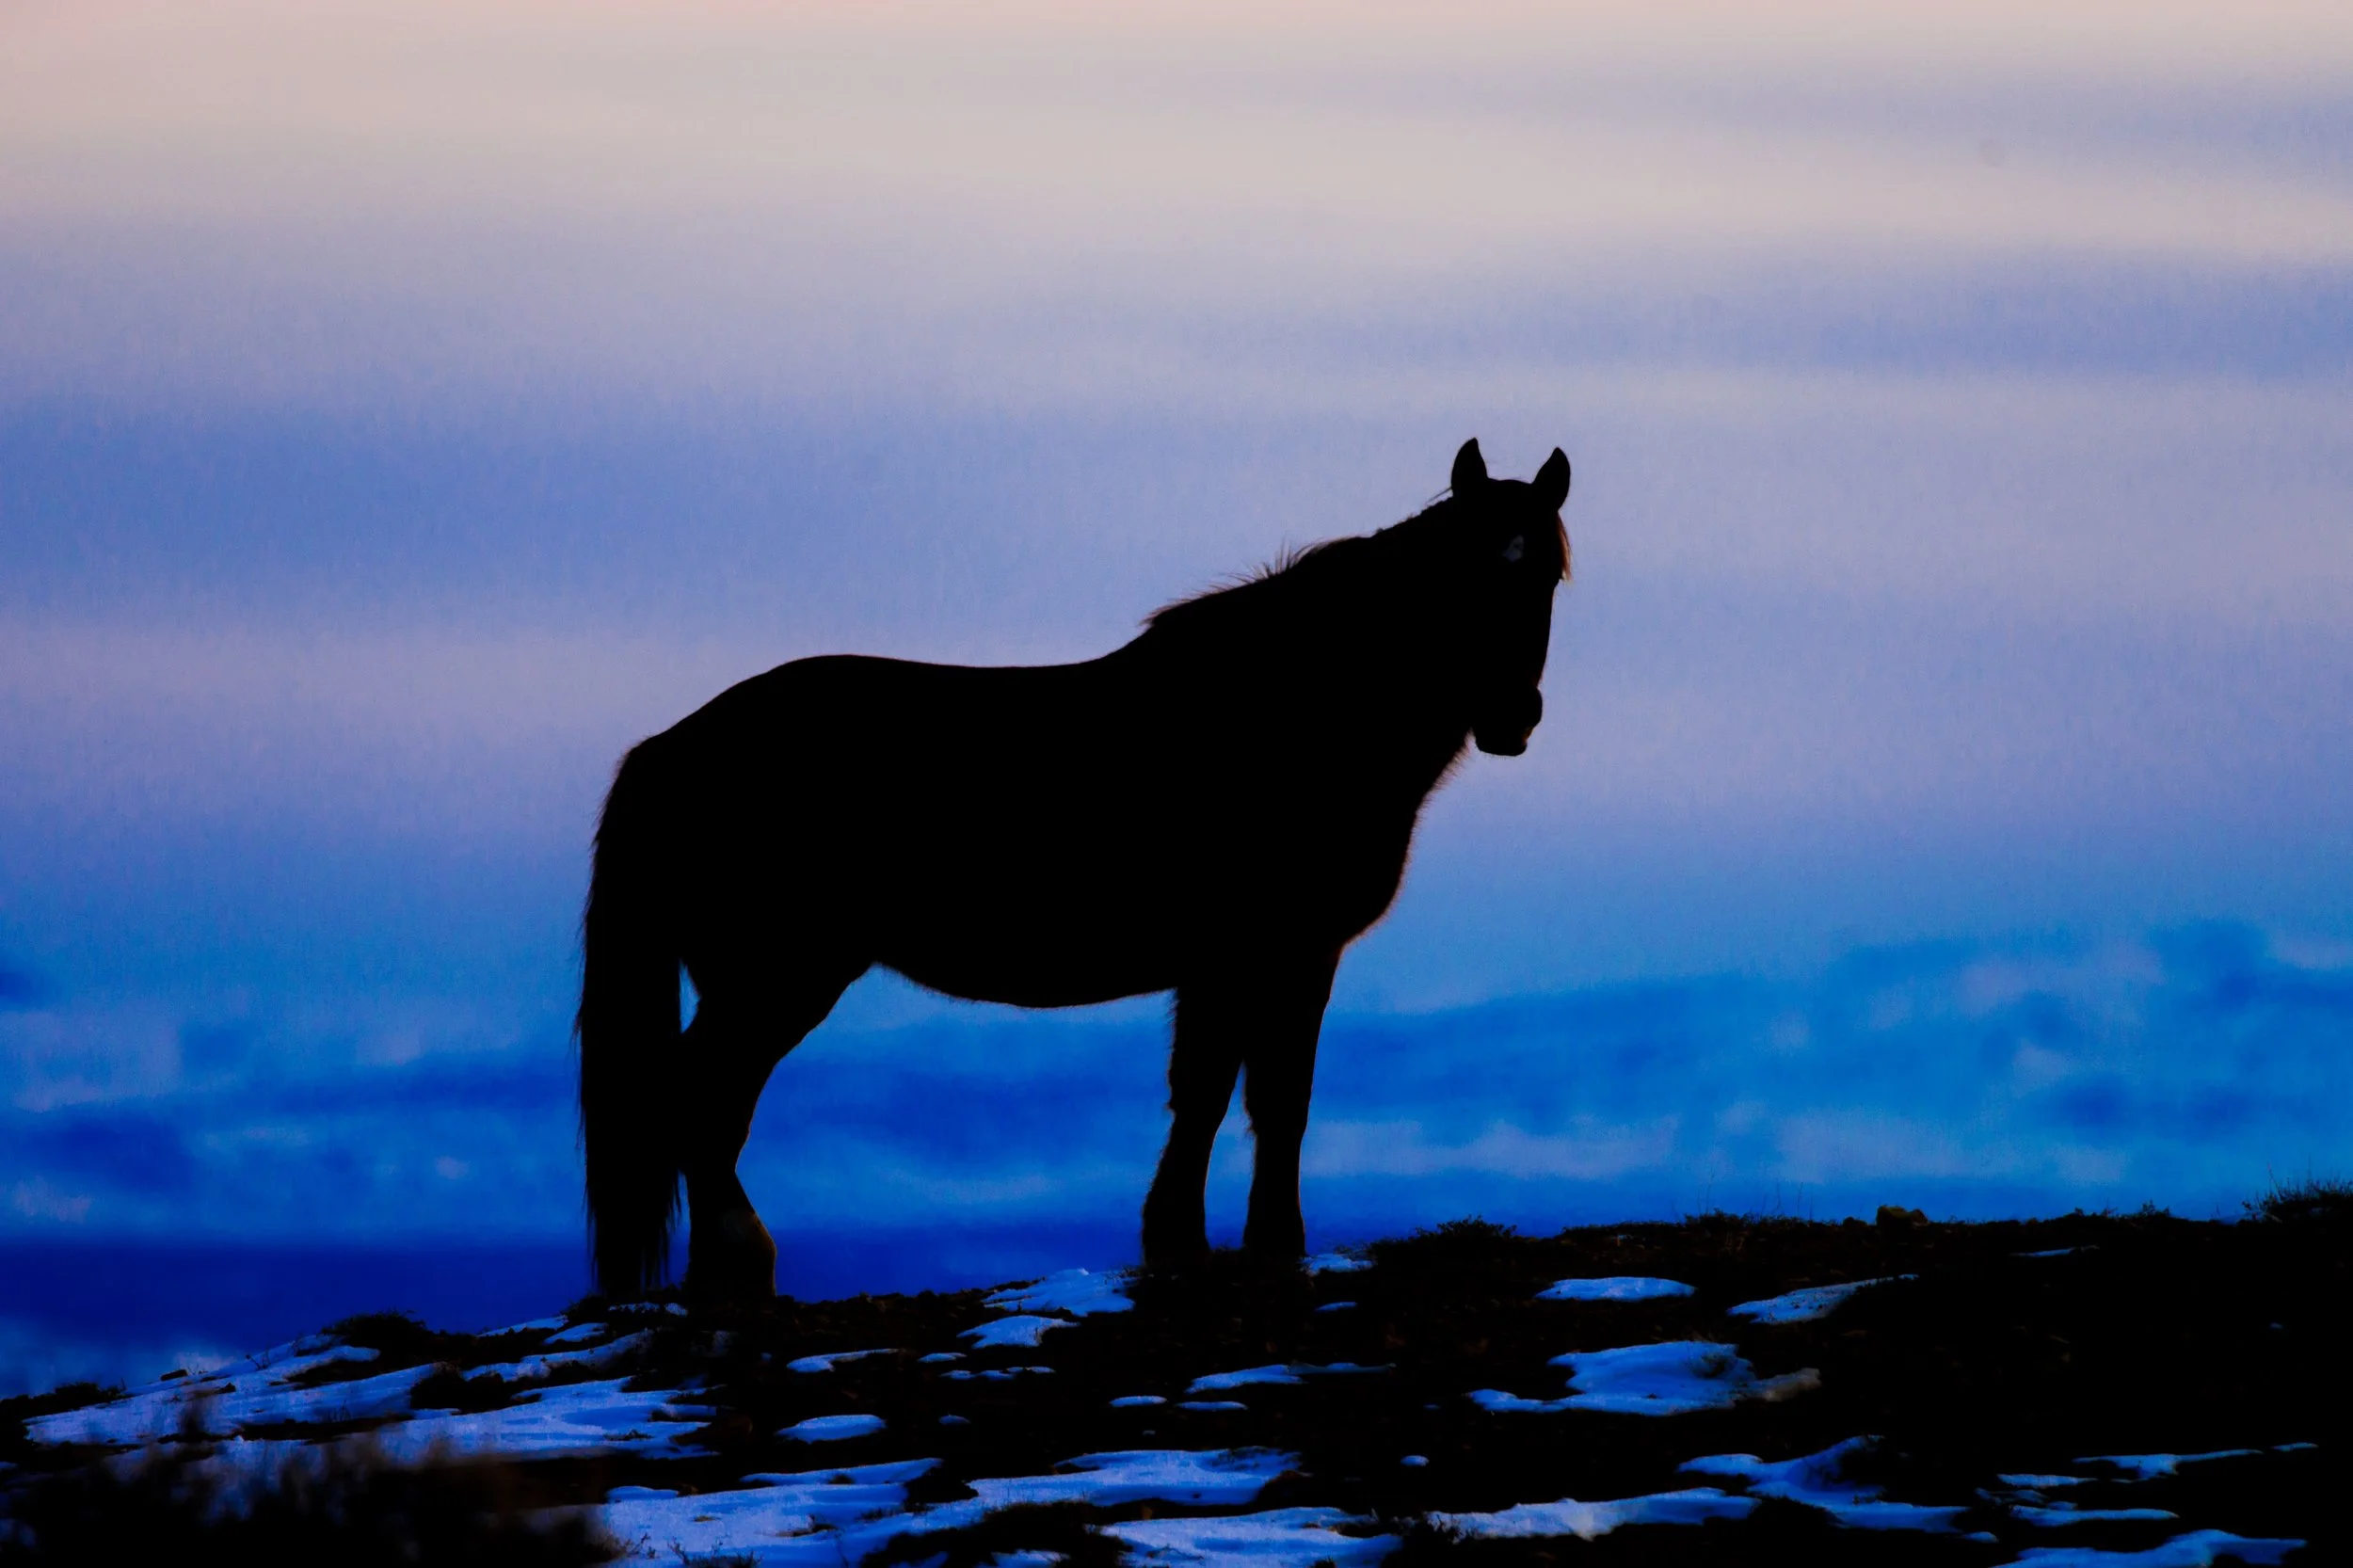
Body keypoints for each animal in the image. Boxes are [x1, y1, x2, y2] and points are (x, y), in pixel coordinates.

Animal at [577, 438, 1572, 1299]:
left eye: (1547, 575)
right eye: (1466, 571)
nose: (1511, 717)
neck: (1291, 711)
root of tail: (670, 750)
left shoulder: (1238, 963)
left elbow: (1218, 1093)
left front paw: (1190, 1240)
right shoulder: (1277, 952)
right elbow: (1263, 1094)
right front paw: (1251, 1242)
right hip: (776, 975)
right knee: (700, 1097)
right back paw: (741, 1263)